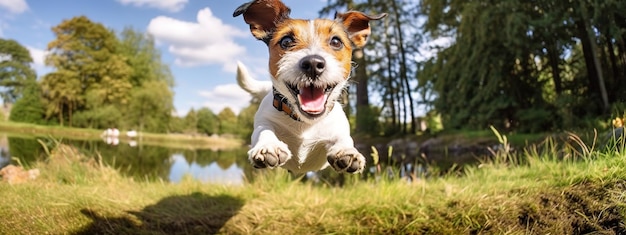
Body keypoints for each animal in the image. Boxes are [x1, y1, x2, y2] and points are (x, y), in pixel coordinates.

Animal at [232, 0, 382, 173]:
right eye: (286, 41)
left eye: (336, 42)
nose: (313, 64)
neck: (304, 122)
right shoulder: (264, 121)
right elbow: (264, 130)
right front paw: (268, 146)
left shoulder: (336, 131)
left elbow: (343, 139)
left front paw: (346, 151)